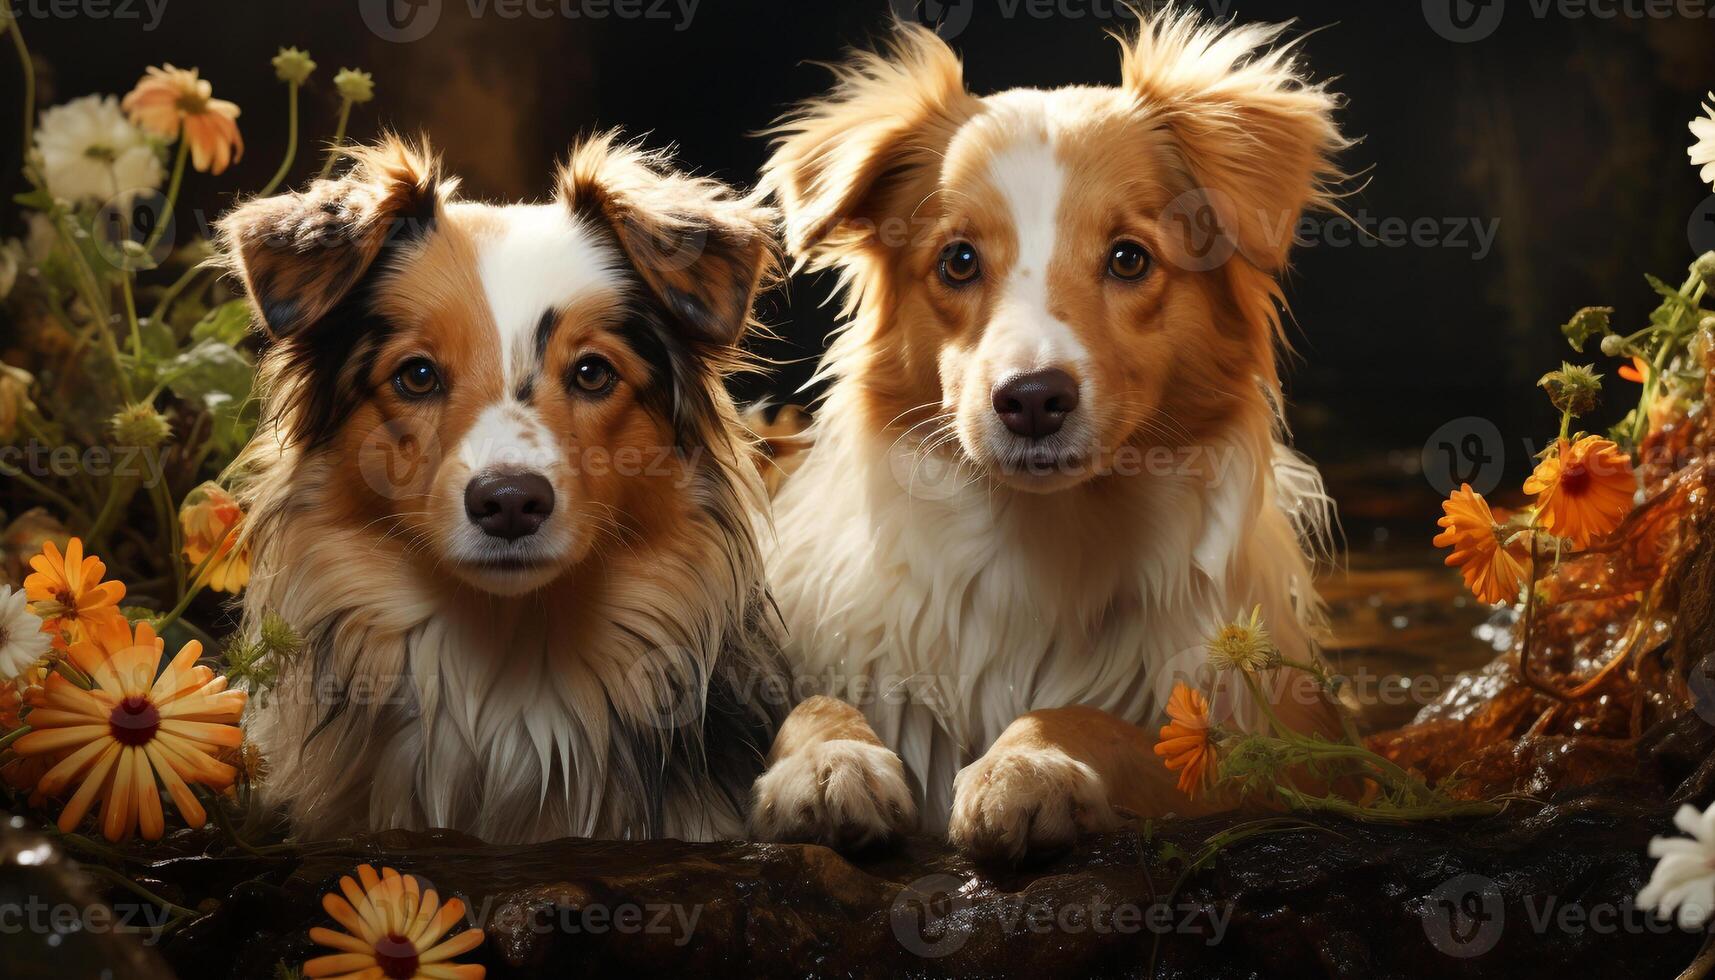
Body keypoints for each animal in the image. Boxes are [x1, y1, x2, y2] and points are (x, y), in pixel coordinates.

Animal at [751, 11, 1351, 861]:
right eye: (957, 261)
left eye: (1128, 258)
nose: (1032, 399)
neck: (1039, 546)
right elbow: (811, 707)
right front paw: (831, 759)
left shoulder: (1280, 755)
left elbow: (1103, 721)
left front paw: (1027, 763)